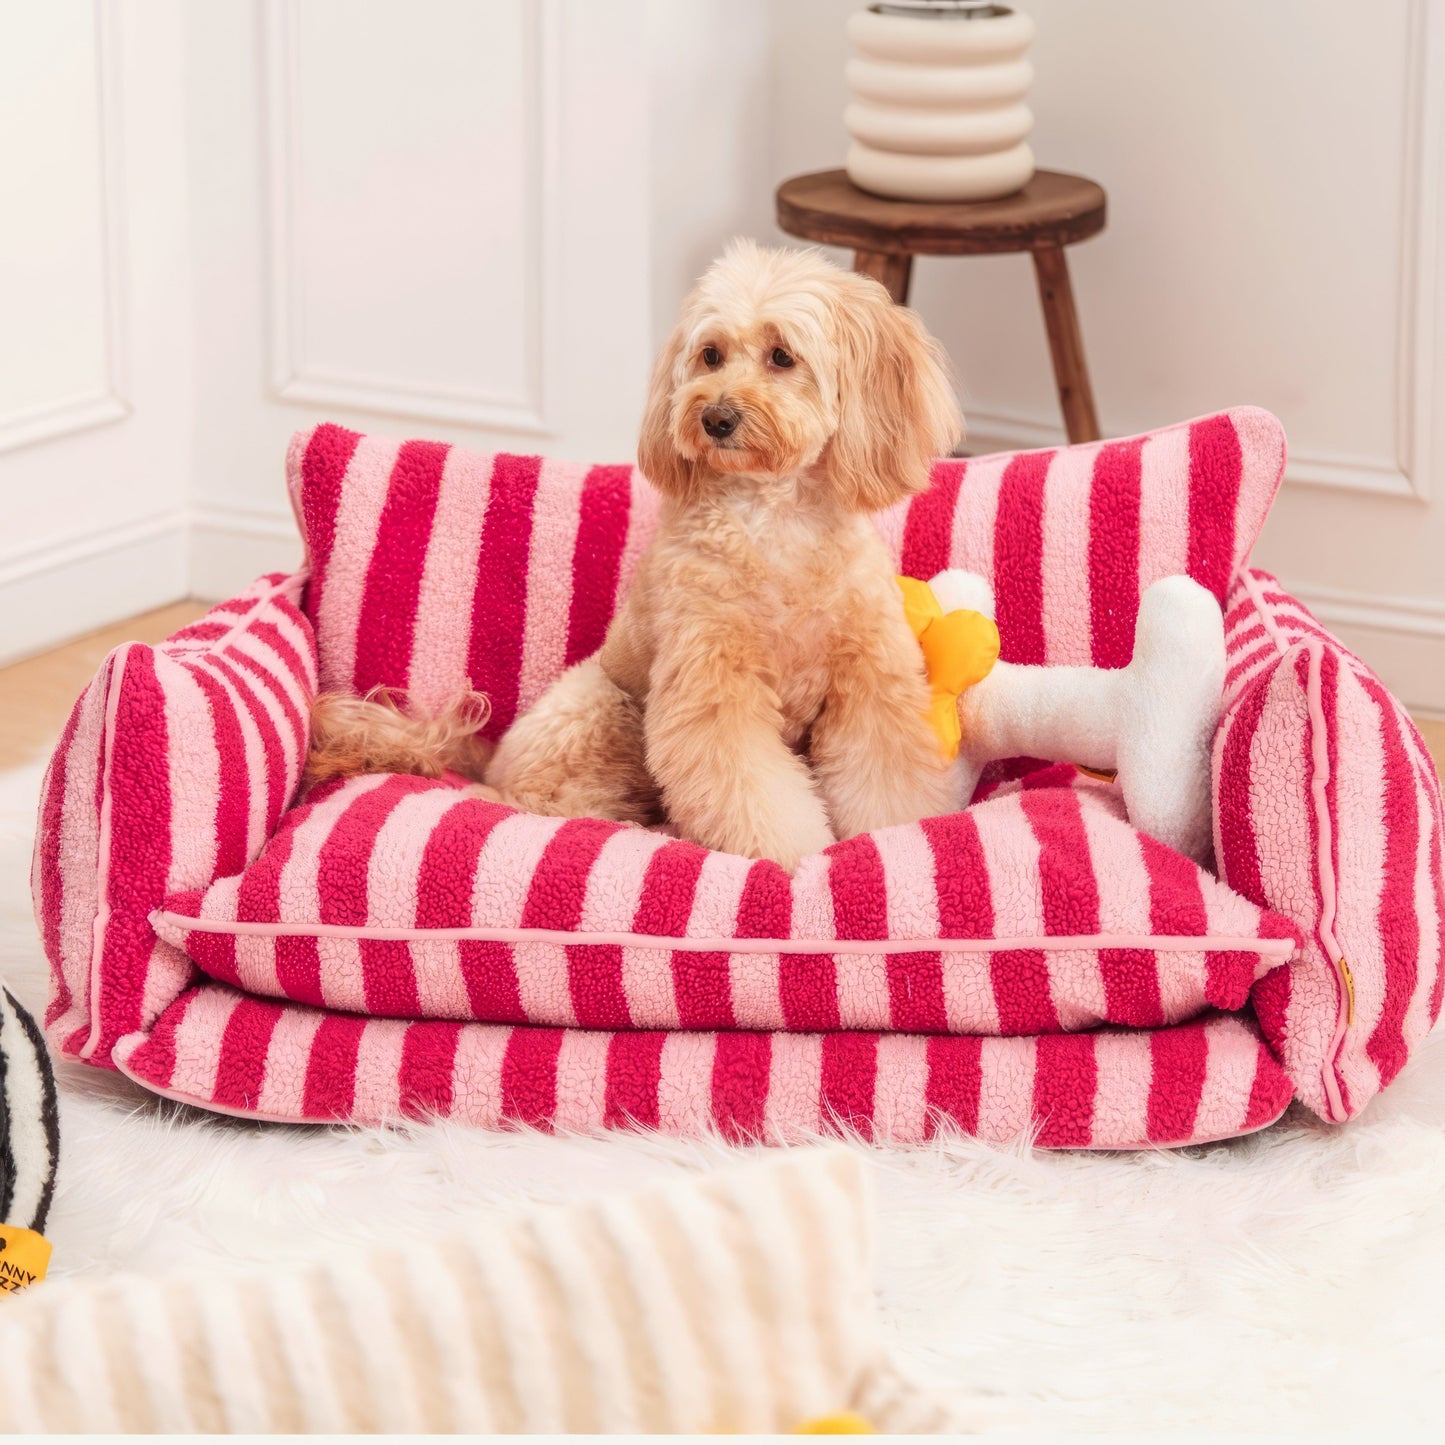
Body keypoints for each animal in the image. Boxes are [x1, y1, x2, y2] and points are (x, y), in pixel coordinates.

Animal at [479, 241, 965, 861]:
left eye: (782, 356)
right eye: (711, 355)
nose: (715, 417)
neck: (774, 518)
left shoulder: (869, 680)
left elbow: (886, 777)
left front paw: (892, 834)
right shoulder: (713, 684)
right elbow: (752, 789)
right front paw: (793, 855)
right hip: (601, 705)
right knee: (556, 796)